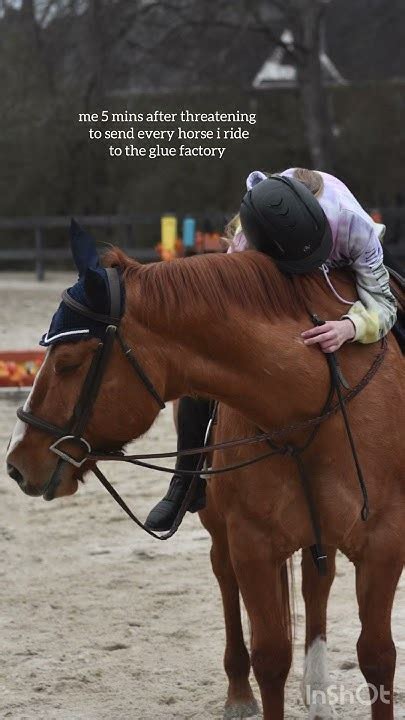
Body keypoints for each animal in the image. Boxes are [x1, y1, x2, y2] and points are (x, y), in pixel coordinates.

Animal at [7, 241, 405, 720]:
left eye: (68, 363)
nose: (17, 461)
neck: (310, 408)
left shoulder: (384, 545)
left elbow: (378, 656)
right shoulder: (253, 544)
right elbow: (270, 657)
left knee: (316, 585)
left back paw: (316, 692)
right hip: (221, 527)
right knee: (226, 575)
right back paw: (240, 692)